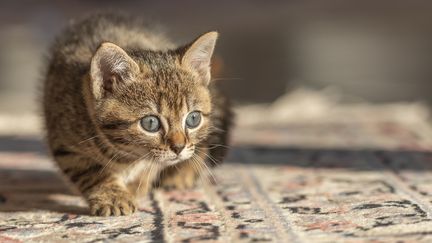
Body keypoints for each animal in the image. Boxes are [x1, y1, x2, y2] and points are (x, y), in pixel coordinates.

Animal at [43, 13, 233, 216]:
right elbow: (93, 172)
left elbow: (151, 166)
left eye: (193, 119)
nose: (179, 147)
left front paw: (137, 185)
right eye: (150, 123)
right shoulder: (65, 143)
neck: (126, 155)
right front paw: (113, 197)